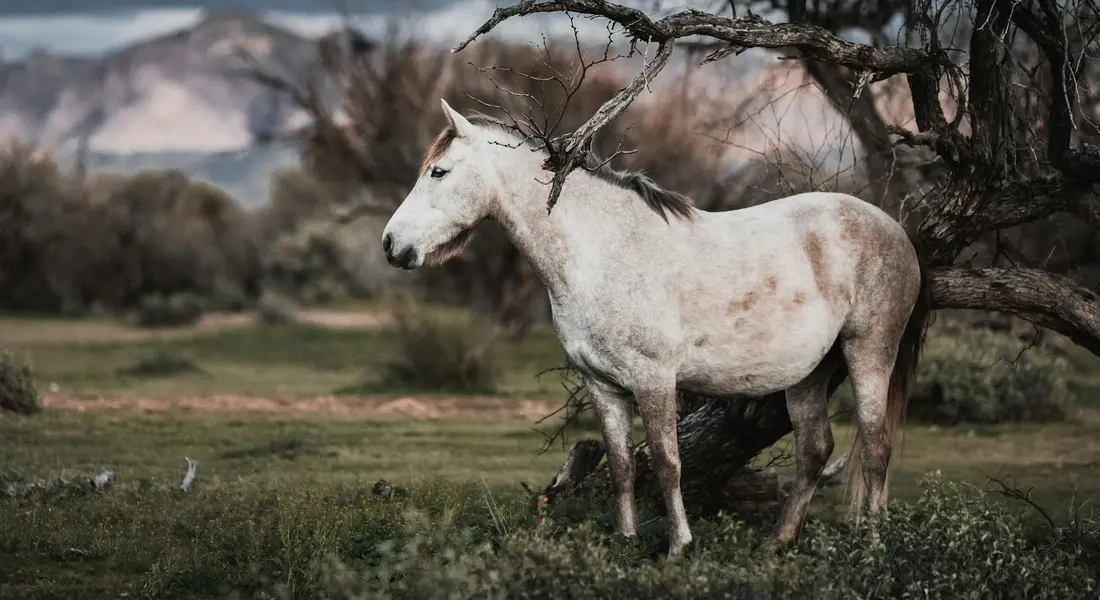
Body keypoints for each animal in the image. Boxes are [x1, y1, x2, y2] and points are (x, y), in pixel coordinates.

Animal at [381, 99, 931, 557]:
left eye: (439, 171)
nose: (391, 244)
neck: (602, 251)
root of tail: (893, 230)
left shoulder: (654, 380)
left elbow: (667, 463)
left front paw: (678, 547)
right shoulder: (603, 385)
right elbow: (623, 465)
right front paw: (624, 544)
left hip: (869, 352)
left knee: (875, 449)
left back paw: (872, 545)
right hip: (809, 374)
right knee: (814, 451)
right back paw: (778, 542)